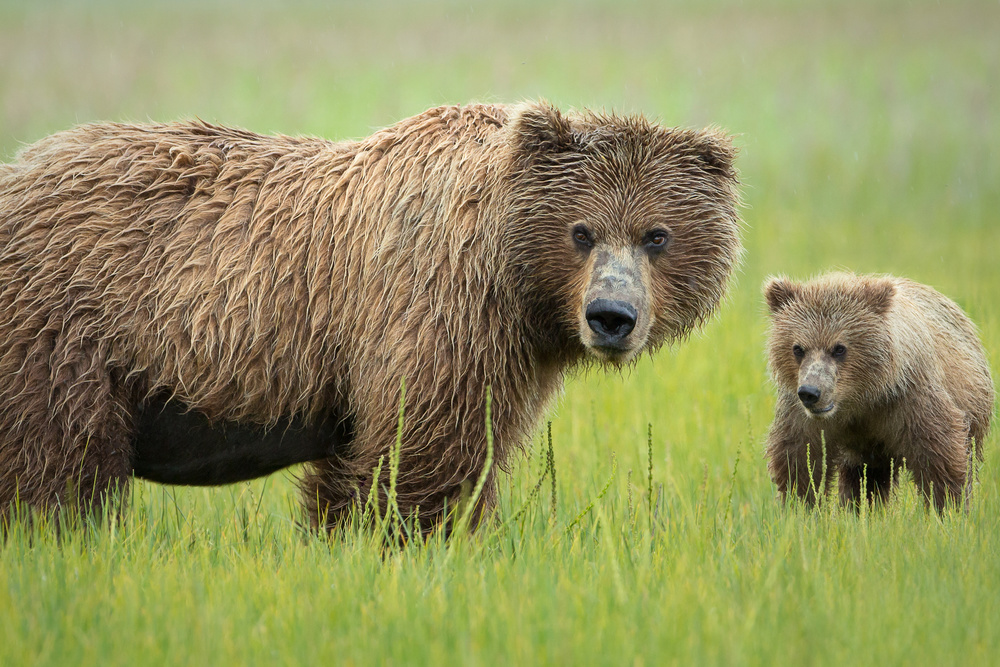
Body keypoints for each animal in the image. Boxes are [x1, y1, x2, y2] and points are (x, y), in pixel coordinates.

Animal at [0, 103, 744, 532]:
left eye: (656, 234)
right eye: (581, 231)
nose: (611, 315)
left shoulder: (510, 349)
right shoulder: (434, 309)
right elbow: (419, 453)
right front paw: (407, 536)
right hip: (63, 327)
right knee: (57, 464)